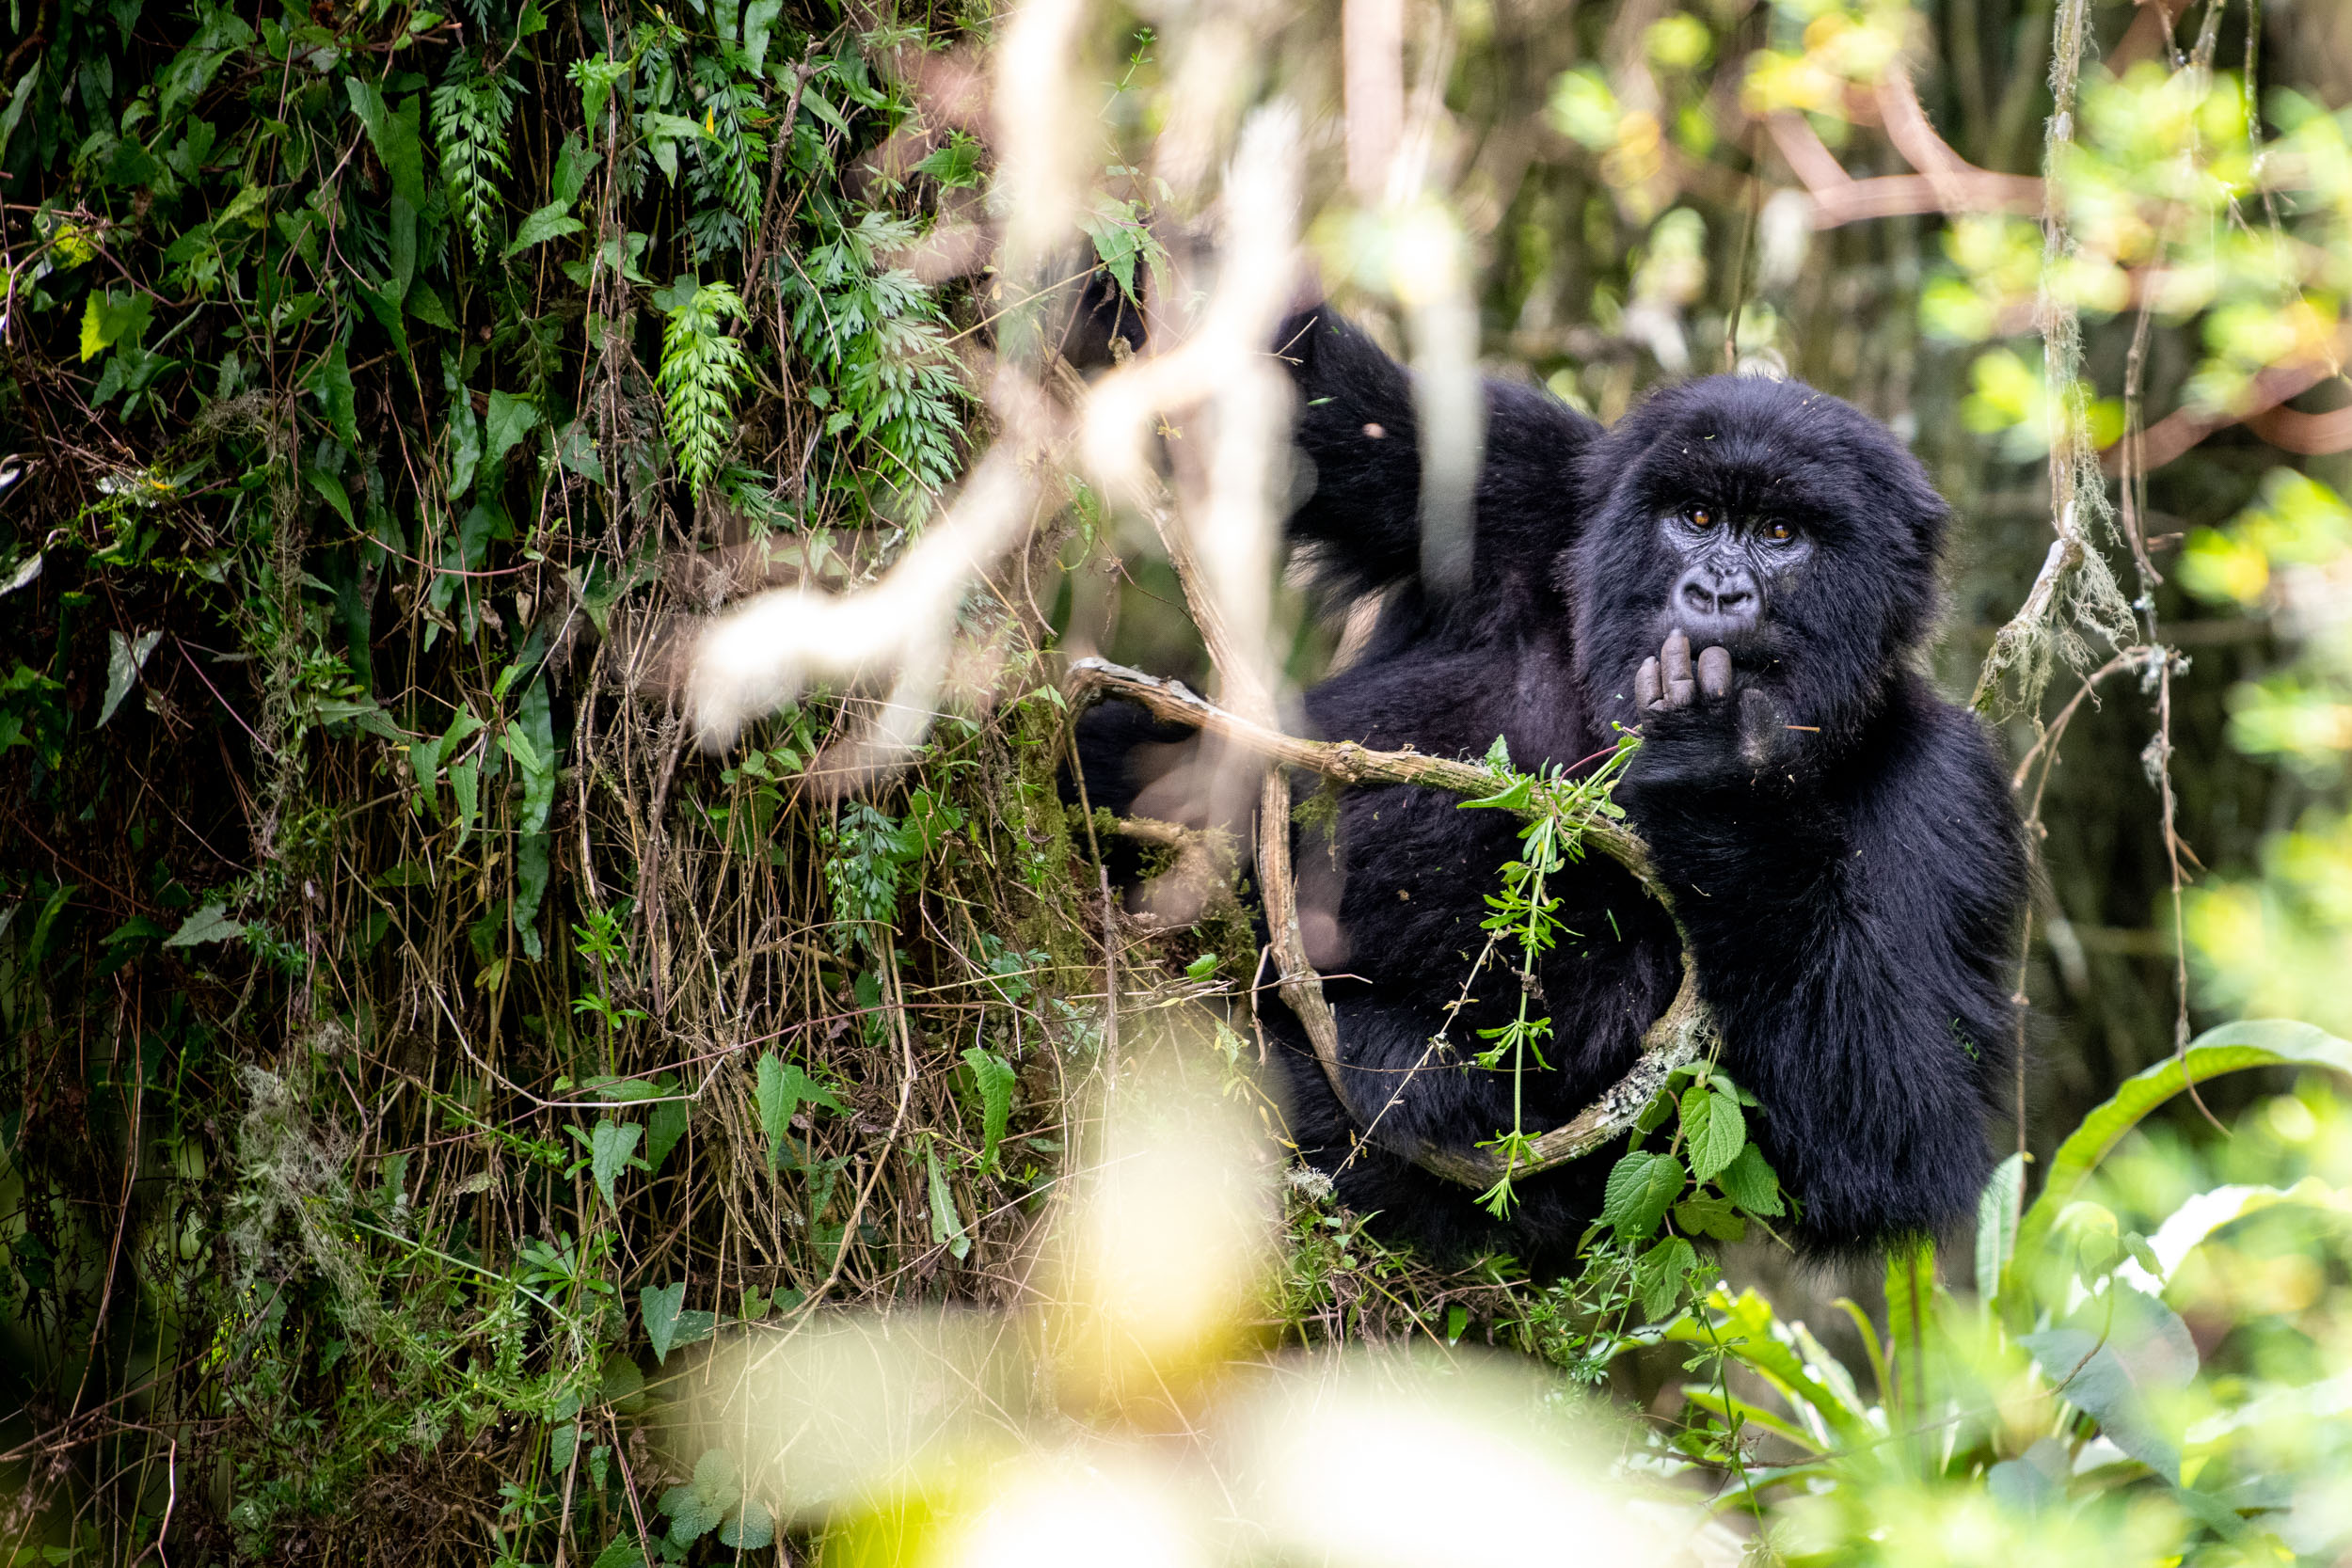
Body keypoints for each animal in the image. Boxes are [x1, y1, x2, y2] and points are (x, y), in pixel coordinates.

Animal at [1082, 305, 2023, 1259]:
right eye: (1696, 515)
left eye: (1781, 536)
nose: (1715, 593)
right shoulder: (1531, 477)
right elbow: (1305, 388)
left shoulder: (1950, 791)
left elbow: (1900, 1139)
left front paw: (1716, 772)